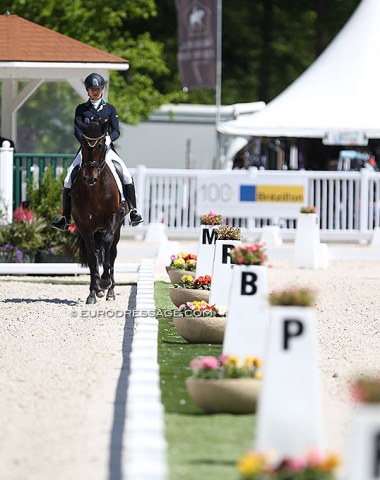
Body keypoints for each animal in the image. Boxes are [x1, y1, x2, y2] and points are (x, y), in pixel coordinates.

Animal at [70, 124, 125, 304]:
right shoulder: (84, 226)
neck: (95, 190)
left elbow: (107, 246)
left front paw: (105, 281)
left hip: (116, 229)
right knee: (95, 254)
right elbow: (92, 257)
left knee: (112, 253)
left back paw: (110, 290)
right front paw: (93, 292)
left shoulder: (114, 217)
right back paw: (98, 290)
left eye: (101, 145)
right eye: (83, 144)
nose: (89, 178)